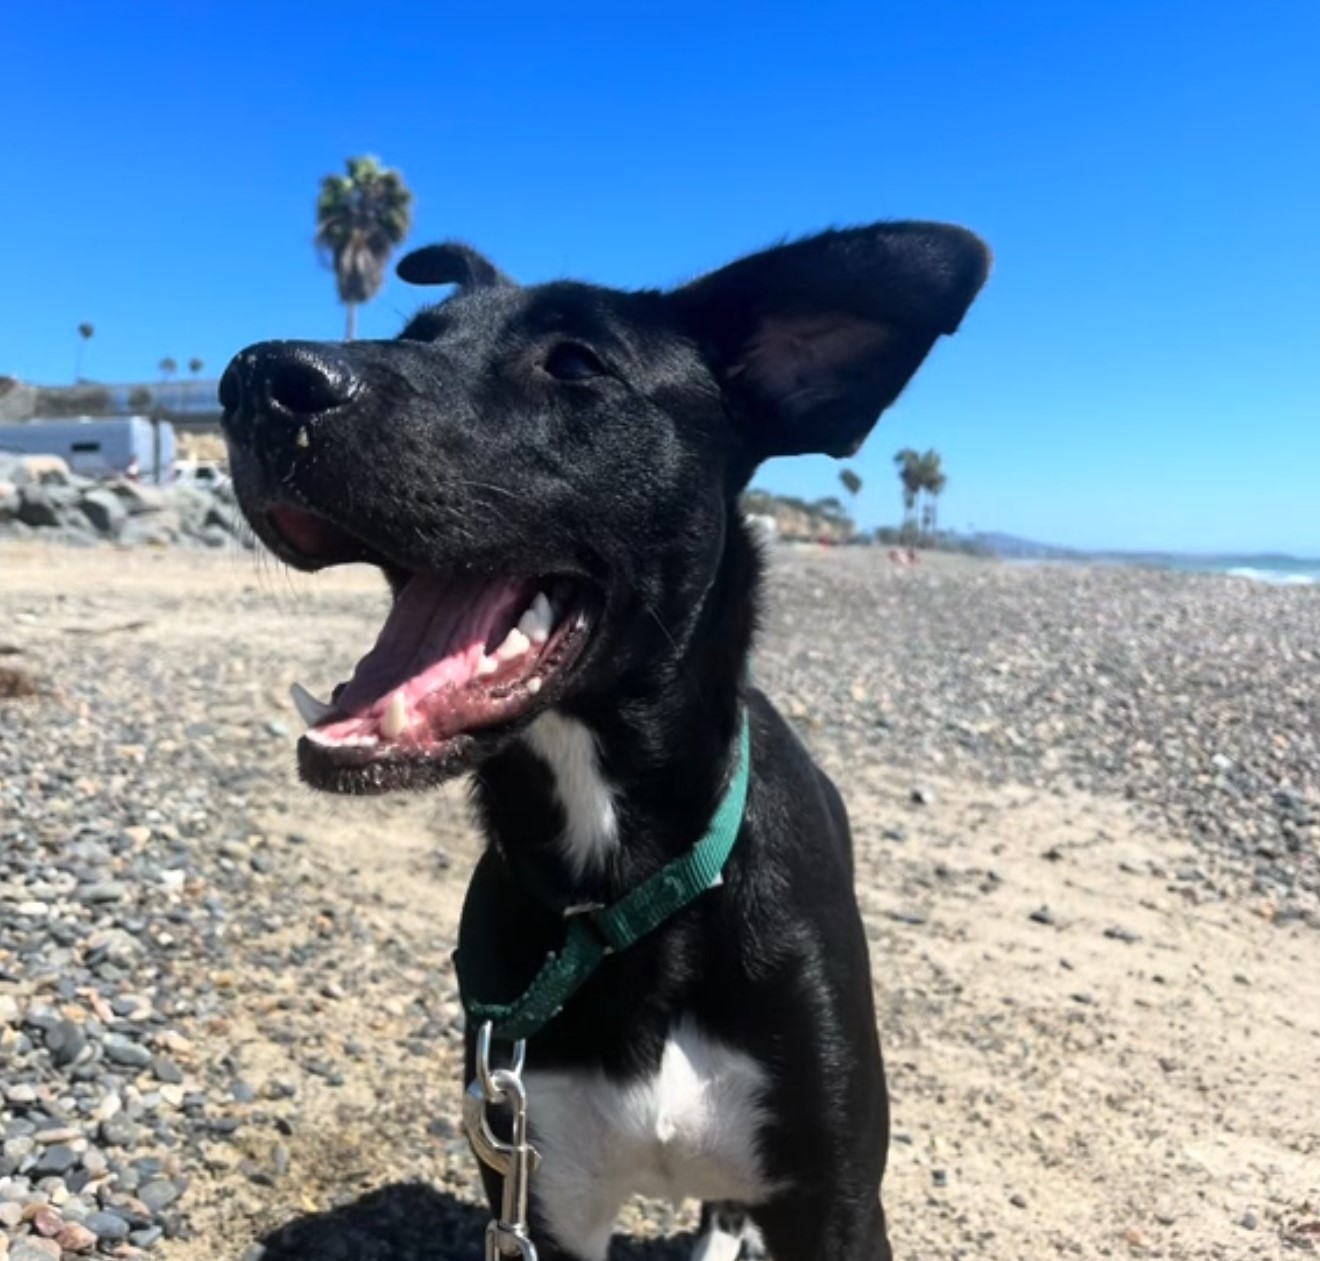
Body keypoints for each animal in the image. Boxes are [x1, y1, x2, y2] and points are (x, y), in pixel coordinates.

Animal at [216, 227, 987, 1261]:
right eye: (416, 336)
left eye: (576, 364)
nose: (257, 379)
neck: (624, 897)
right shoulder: (540, 1186)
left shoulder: (838, 1205)